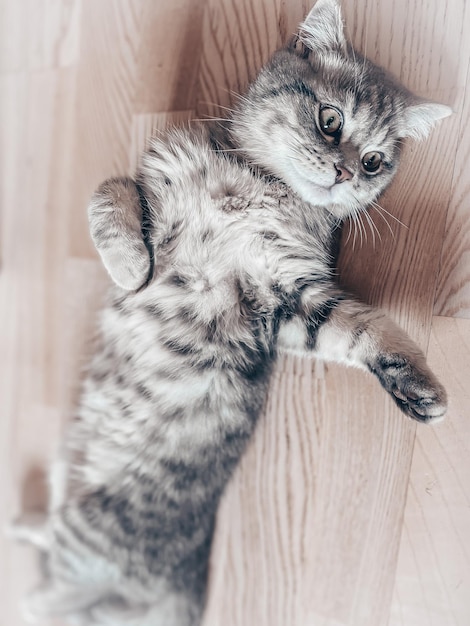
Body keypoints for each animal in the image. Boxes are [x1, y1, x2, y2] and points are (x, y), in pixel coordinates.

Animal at [11, 1, 452, 624]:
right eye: (331, 120)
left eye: (373, 162)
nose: (346, 173)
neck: (260, 190)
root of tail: (184, 579)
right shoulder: (158, 187)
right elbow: (109, 191)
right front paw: (129, 265)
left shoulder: (285, 300)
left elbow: (360, 328)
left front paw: (416, 386)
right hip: (75, 499)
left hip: (88, 530)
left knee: (54, 579)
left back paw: (24, 546)